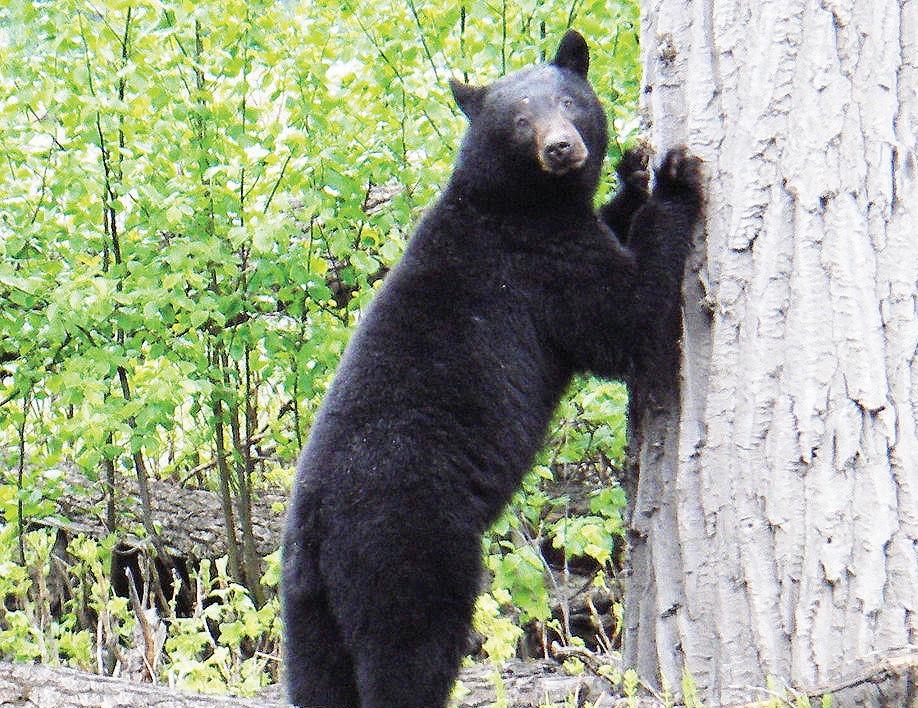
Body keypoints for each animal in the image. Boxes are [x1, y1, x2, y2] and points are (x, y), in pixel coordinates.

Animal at [281, 29, 704, 708]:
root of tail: (318, 531)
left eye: (568, 100)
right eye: (521, 120)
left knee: (317, 674)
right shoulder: (539, 264)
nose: (561, 148)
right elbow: (625, 318)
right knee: (411, 650)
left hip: (305, 604)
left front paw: (633, 174)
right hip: (407, 550)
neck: (514, 200)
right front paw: (674, 179)